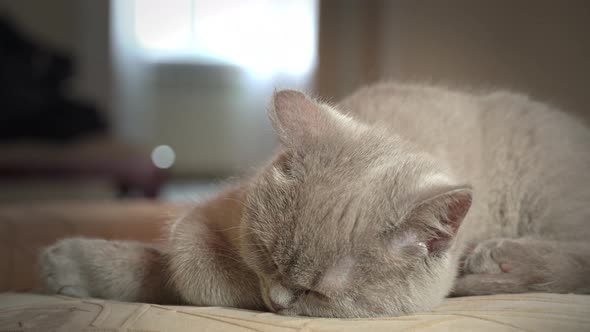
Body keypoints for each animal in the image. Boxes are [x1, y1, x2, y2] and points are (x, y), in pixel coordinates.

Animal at [41, 82, 590, 316]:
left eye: (319, 294)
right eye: (265, 255)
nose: (280, 299)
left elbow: (185, 272)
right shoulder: (217, 213)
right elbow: (179, 255)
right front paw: (72, 265)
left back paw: (496, 259)